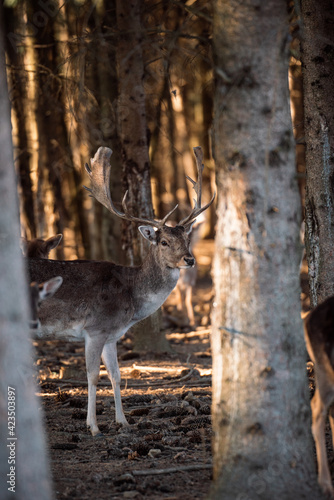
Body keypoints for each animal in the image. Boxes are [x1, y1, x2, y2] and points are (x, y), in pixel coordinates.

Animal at [27, 146, 215, 436]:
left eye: (187, 238)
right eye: (163, 241)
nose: (190, 259)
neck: (131, 300)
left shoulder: (112, 335)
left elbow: (116, 375)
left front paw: (123, 421)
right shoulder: (94, 328)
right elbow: (94, 376)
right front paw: (93, 427)